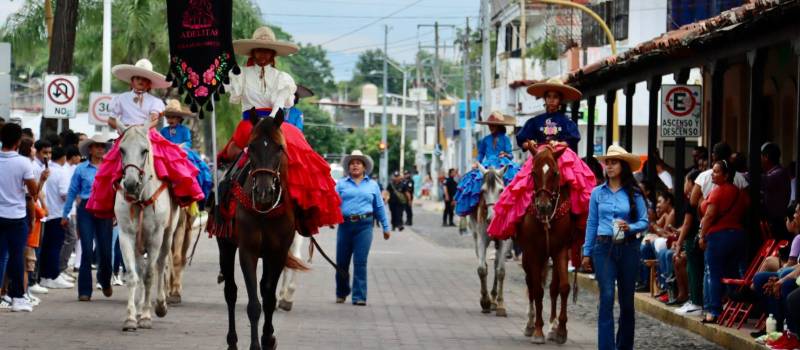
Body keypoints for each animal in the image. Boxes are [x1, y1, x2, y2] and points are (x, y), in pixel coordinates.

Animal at [114, 125, 180, 330]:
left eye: (145, 150)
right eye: (121, 150)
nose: (130, 184)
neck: (141, 200)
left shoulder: (155, 237)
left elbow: (151, 274)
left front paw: (146, 316)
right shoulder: (125, 235)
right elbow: (133, 274)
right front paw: (131, 317)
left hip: (167, 235)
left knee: (161, 264)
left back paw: (159, 305)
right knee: (140, 270)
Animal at [216, 113, 310, 350]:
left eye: (279, 148)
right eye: (251, 146)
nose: (264, 192)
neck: (266, 210)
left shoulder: (277, 253)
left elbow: (268, 298)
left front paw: (269, 339)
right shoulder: (247, 251)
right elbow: (254, 304)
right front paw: (255, 344)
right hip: (226, 245)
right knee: (230, 292)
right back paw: (232, 341)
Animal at [468, 165, 512, 318]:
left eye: (501, 190)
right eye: (482, 191)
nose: (492, 218)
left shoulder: (505, 240)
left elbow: (501, 271)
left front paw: (500, 305)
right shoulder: (481, 238)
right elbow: (482, 269)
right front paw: (485, 302)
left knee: (497, 264)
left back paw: (494, 299)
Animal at [516, 145, 572, 344]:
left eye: (555, 173)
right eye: (533, 173)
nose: (543, 206)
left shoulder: (561, 250)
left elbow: (563, 287)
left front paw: (561, 330)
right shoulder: (533, 252)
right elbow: (538, 291)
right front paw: (538, 331)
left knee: (553, 288)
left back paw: (552, 327)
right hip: (527, 256)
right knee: (531, 285)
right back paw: (530, 324)